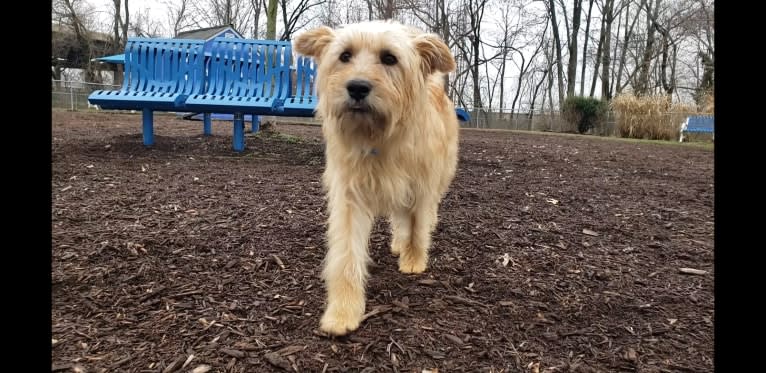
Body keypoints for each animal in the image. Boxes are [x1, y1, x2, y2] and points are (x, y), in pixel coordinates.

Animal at [294, 19, 460, 334]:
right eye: (345, 55)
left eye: (389, 58)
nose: (357, 87)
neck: (378, 136)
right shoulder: (349, 196)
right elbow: (346, 253)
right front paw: (343, 311)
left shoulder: (421, 187)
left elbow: (418, 228)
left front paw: (414, 260)